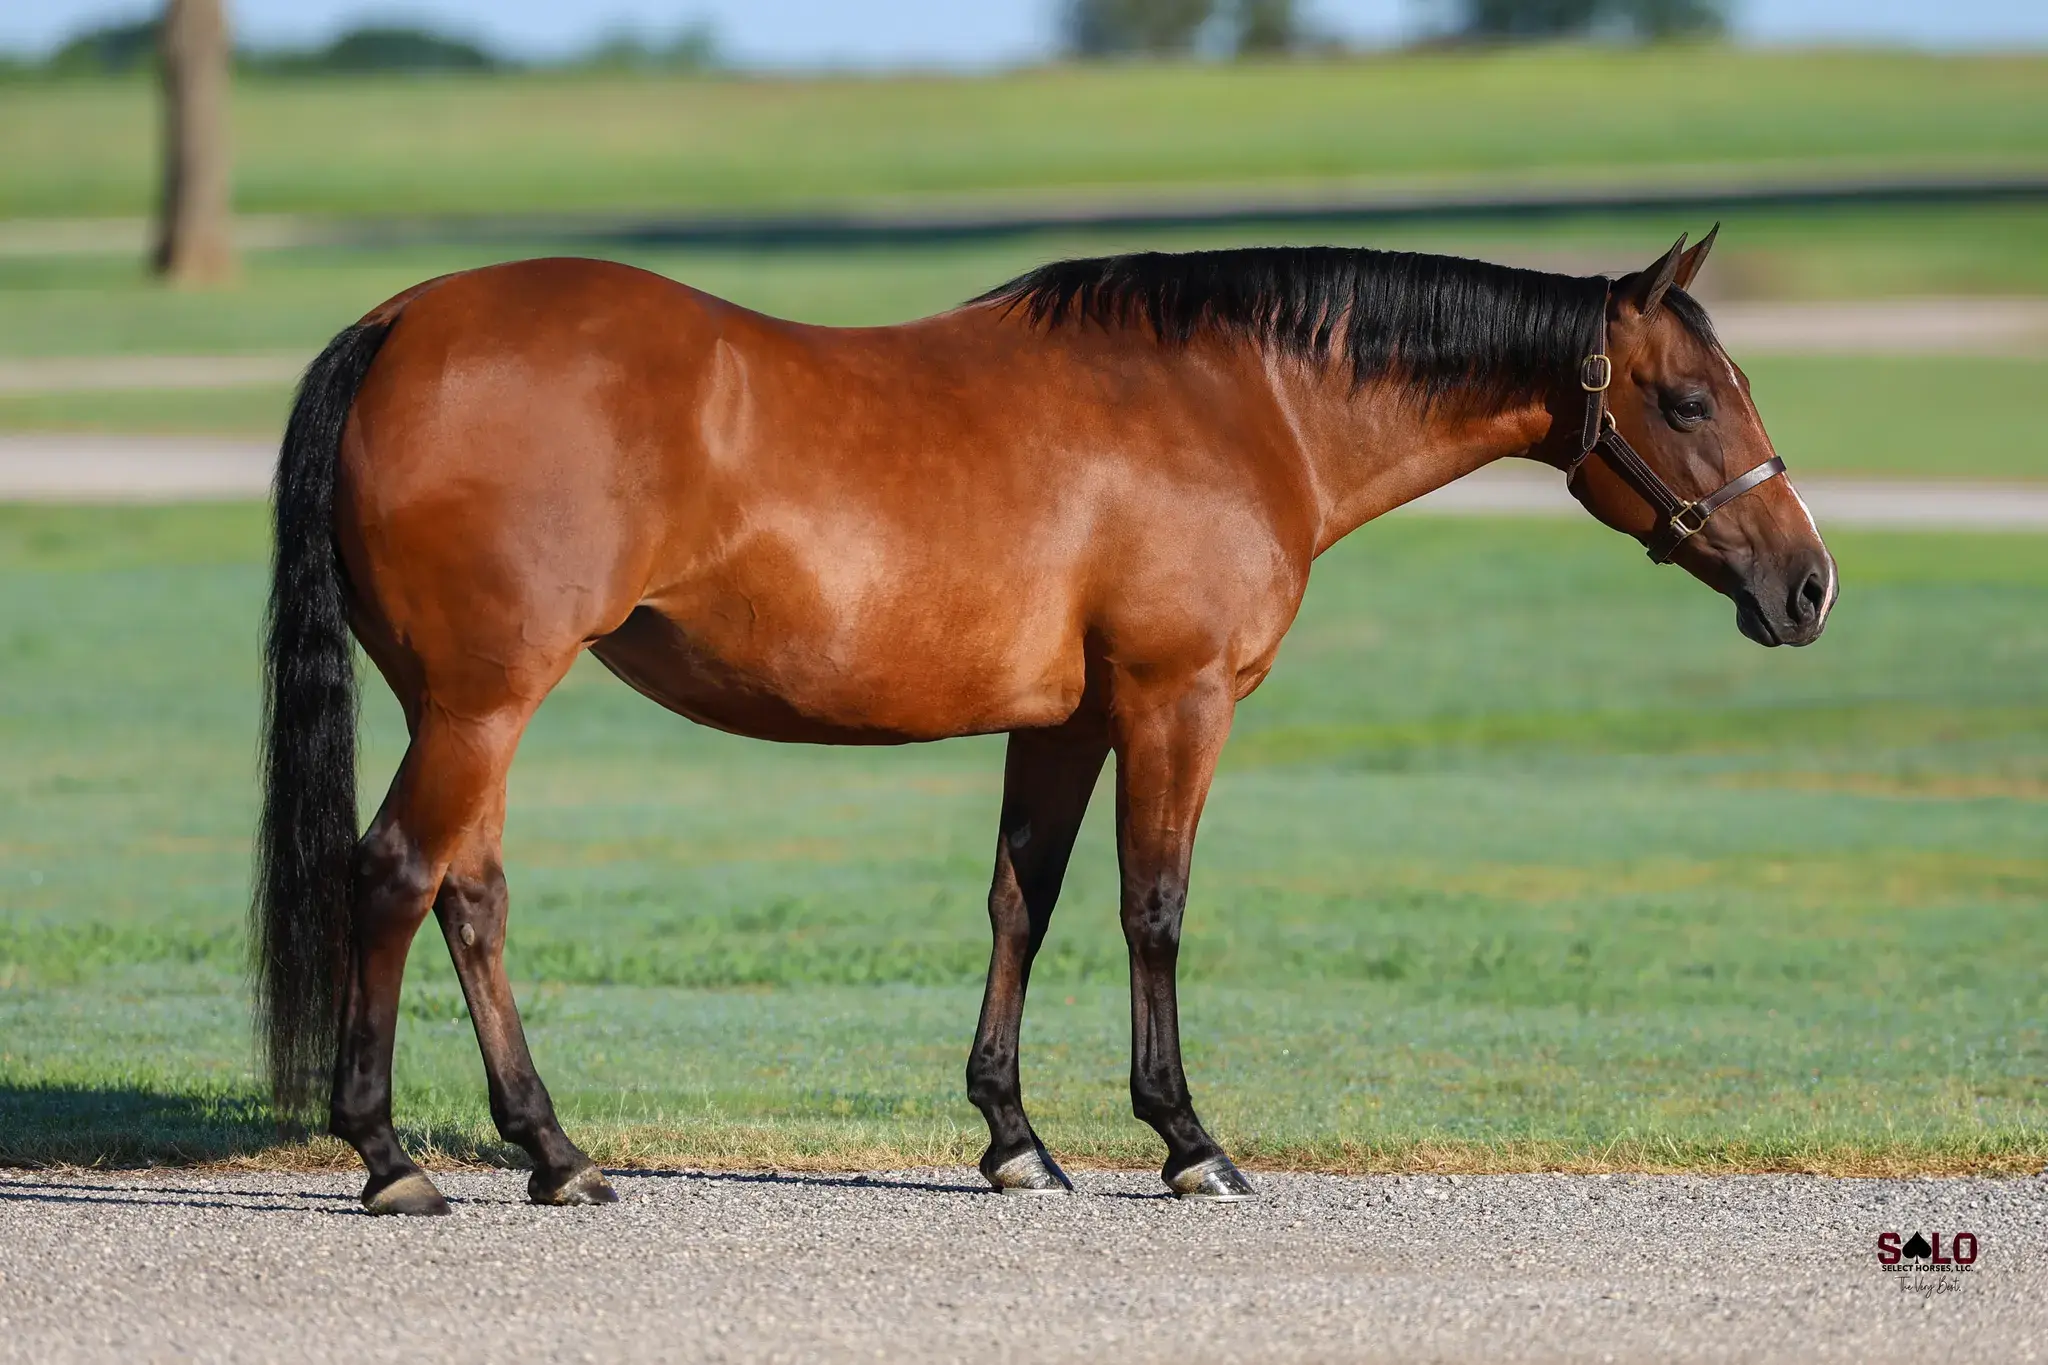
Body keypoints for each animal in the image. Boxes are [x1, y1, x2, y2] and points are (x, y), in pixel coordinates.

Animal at [254, 228, 1835, 1214]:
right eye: (1687, 399)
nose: (1806, 586)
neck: (1240, 404)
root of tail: (403, 321)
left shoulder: (1065, 723)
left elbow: (1025, 898)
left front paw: (1013, 1138)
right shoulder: (1174, 701)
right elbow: (1154, 908)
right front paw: (1187, 1139)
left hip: (466, 708)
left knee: (470, 898)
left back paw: (555, 1150)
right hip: (482, 703)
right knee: (394, 878)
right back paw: (389, 1157)